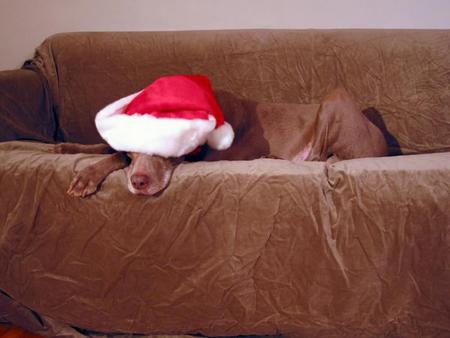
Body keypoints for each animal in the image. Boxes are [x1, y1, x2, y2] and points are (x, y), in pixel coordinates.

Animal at [55, 88, 386, 198]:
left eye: (164, 146)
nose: (138, 182)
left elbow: (115, 156)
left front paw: (86, 175)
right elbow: (112, 149)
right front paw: (67, 148)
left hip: (335, 97)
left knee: (317, 159)